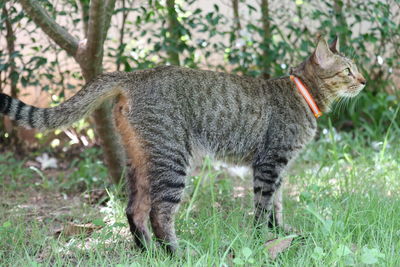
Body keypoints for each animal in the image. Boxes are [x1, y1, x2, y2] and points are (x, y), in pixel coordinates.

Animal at [0, 37, 366, 253]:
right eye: (348, 70)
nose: (364, 80)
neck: (303, 94)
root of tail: (136, 75)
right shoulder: (270, 163)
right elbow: (264, 206)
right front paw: (264, 239)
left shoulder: (280, 167)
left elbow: (277, 205)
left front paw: (283, 233)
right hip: (173, 159)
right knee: (160, 213)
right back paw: (176, 252)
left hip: (140, 160)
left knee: (133, 209)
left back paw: (147, 252)